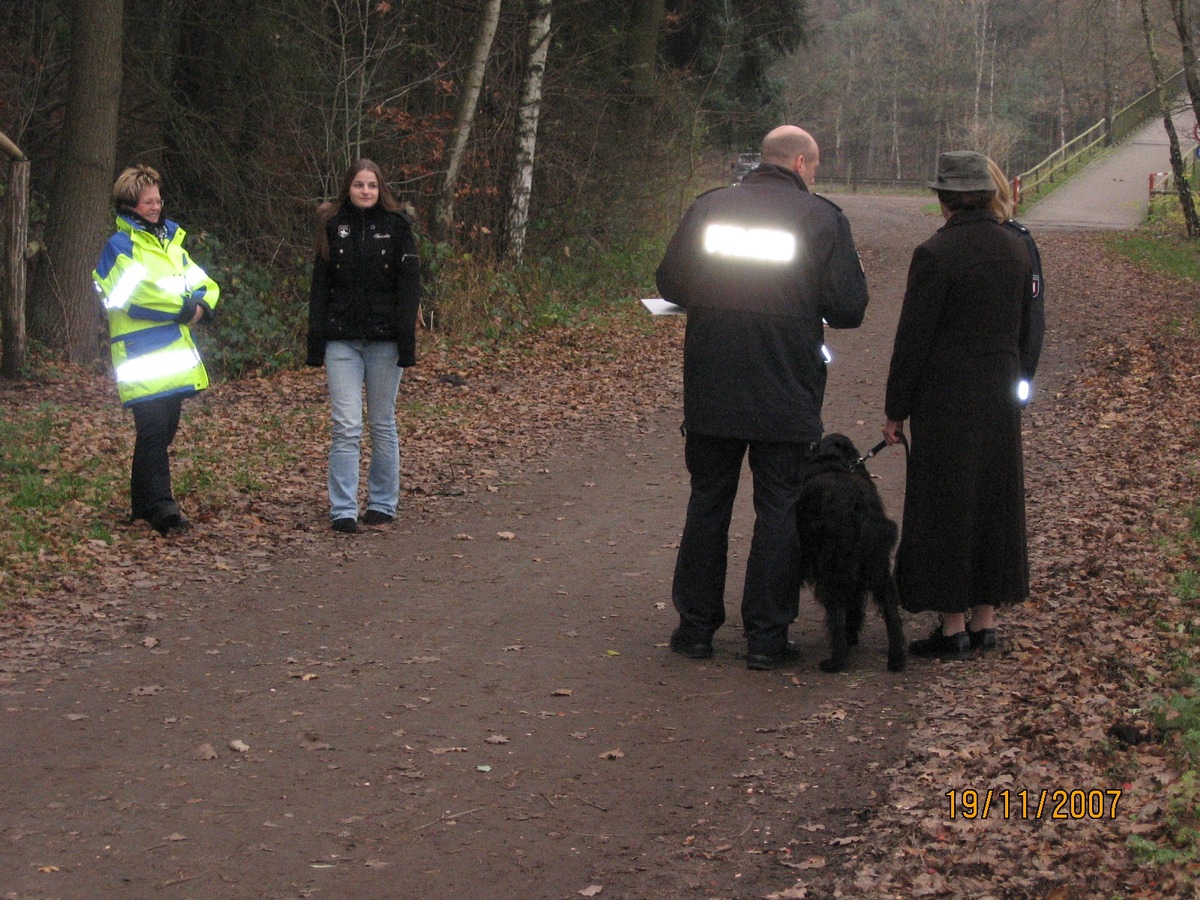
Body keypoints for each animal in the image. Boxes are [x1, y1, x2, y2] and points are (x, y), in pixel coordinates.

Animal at [792, 434, 902, 672]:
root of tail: (860, 506)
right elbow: (856, 607)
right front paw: (852, 635)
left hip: (832, 571)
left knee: (836, 613)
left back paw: (836, 660)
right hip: (877, 569)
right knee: (891, 610)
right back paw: (897, 658)